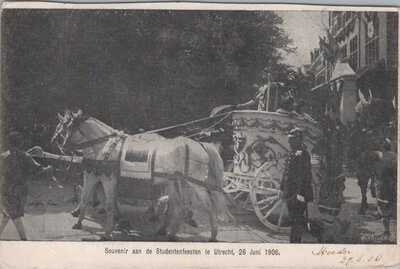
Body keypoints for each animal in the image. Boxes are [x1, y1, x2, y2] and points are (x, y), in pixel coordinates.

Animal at [50, 110, 231, 240]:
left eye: (65, 126)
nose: (56, 142)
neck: (105, 145)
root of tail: (200, 144)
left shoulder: (106, 178)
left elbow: (108, 204)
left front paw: (107, 232)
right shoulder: (95, 175)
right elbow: (86, 197)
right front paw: (80, 222)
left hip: (195, 183)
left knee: (207, 205)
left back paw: (212, 235)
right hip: (176, 182)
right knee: (179, 205)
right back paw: (170, 232)